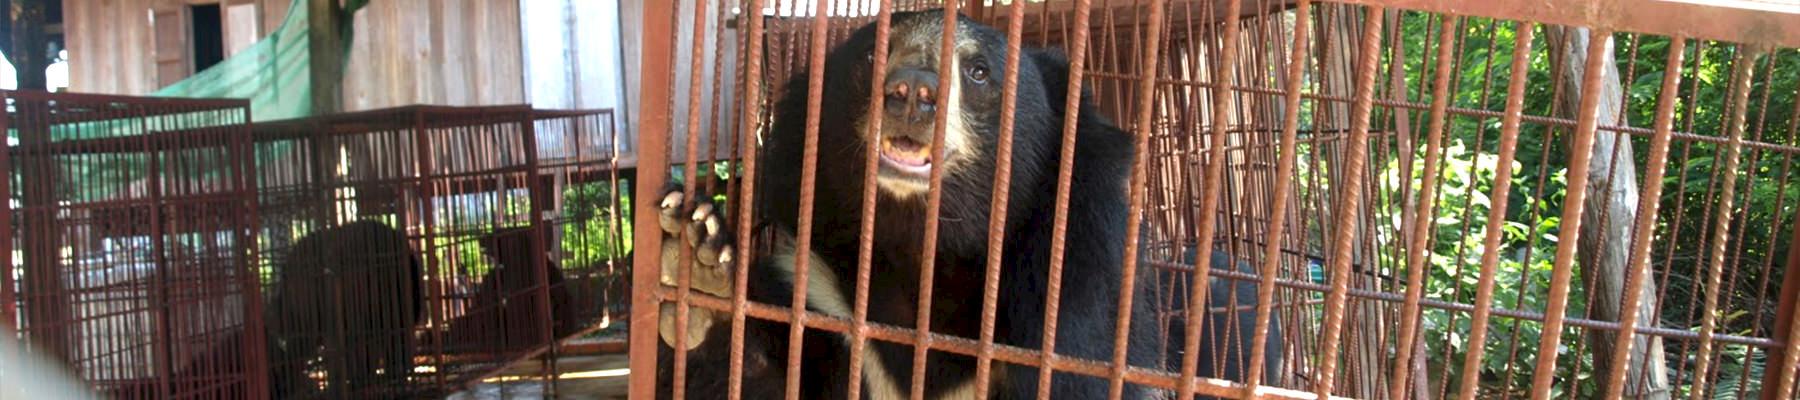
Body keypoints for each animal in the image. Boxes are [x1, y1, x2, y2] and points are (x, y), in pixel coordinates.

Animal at [658, 9, 1281, 400]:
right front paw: (706, 276)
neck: (926, 255)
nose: (911, 92)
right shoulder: (816, 292)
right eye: (874, 58)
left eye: (978, 71)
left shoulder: (1070, 299)